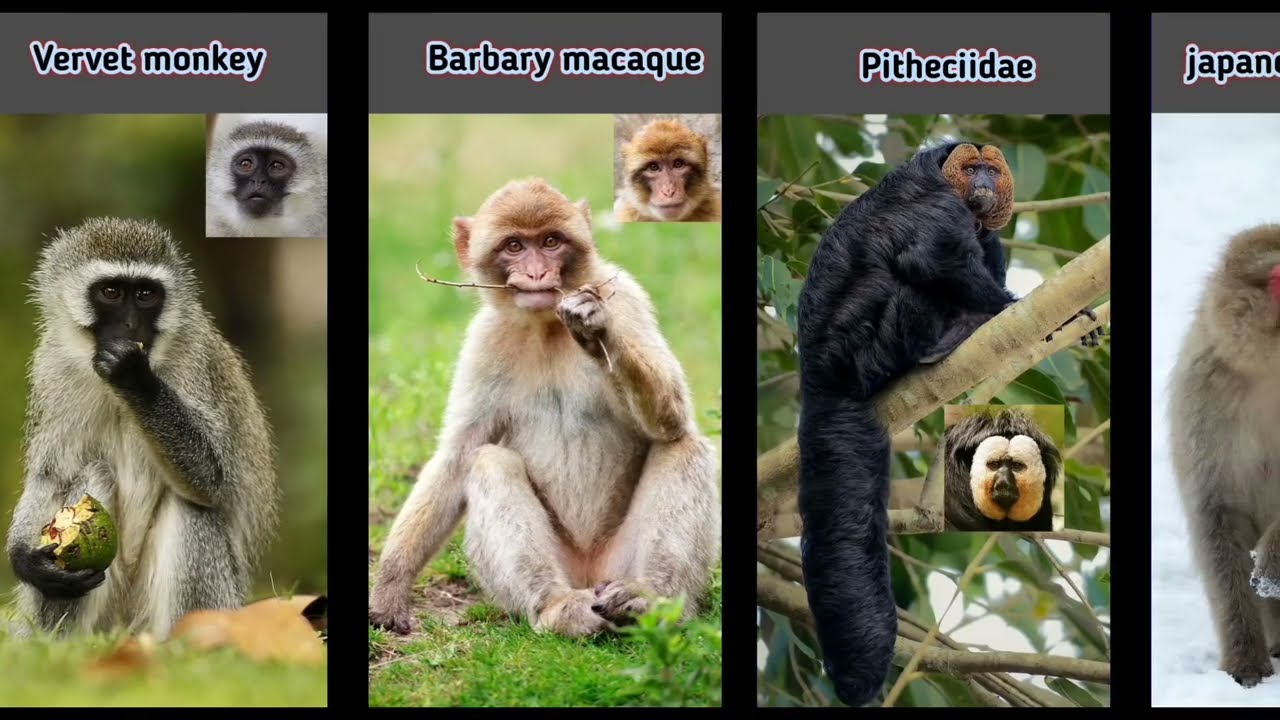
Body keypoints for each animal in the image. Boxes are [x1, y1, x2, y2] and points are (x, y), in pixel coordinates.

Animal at [5, 217, 277, 639]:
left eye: (146, 295)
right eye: (112, 292)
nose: (130, 326)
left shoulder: (195, 358)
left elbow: (214, 478)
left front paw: (135, 376)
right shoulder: (51, 368)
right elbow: (51, 475)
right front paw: (23, 558)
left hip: (217, 602)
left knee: (190, 507)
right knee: (93, 474)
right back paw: (61, 644)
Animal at [368, 178, 720, 637]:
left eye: (551, 242)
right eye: (515, 246)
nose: (536, 273)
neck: (547, 327)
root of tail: (589, 572)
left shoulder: (624, 295)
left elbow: (672, 420)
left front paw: (597, 330)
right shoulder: (485, 340)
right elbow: (458, 457)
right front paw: (390, 586)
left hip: (619, 563)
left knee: (684, 447)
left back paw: (650, 600)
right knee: (489, 463)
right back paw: (558, 607)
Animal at [794, 141, 1103, 706]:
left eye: (989, 170)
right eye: (971, 168)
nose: (981, 179)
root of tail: (819, 373)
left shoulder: (991, 234)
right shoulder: (932, 202)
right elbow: (930, 258)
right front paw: (1048, 315)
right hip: (858, 345)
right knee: (908, 283)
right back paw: (951, 335)